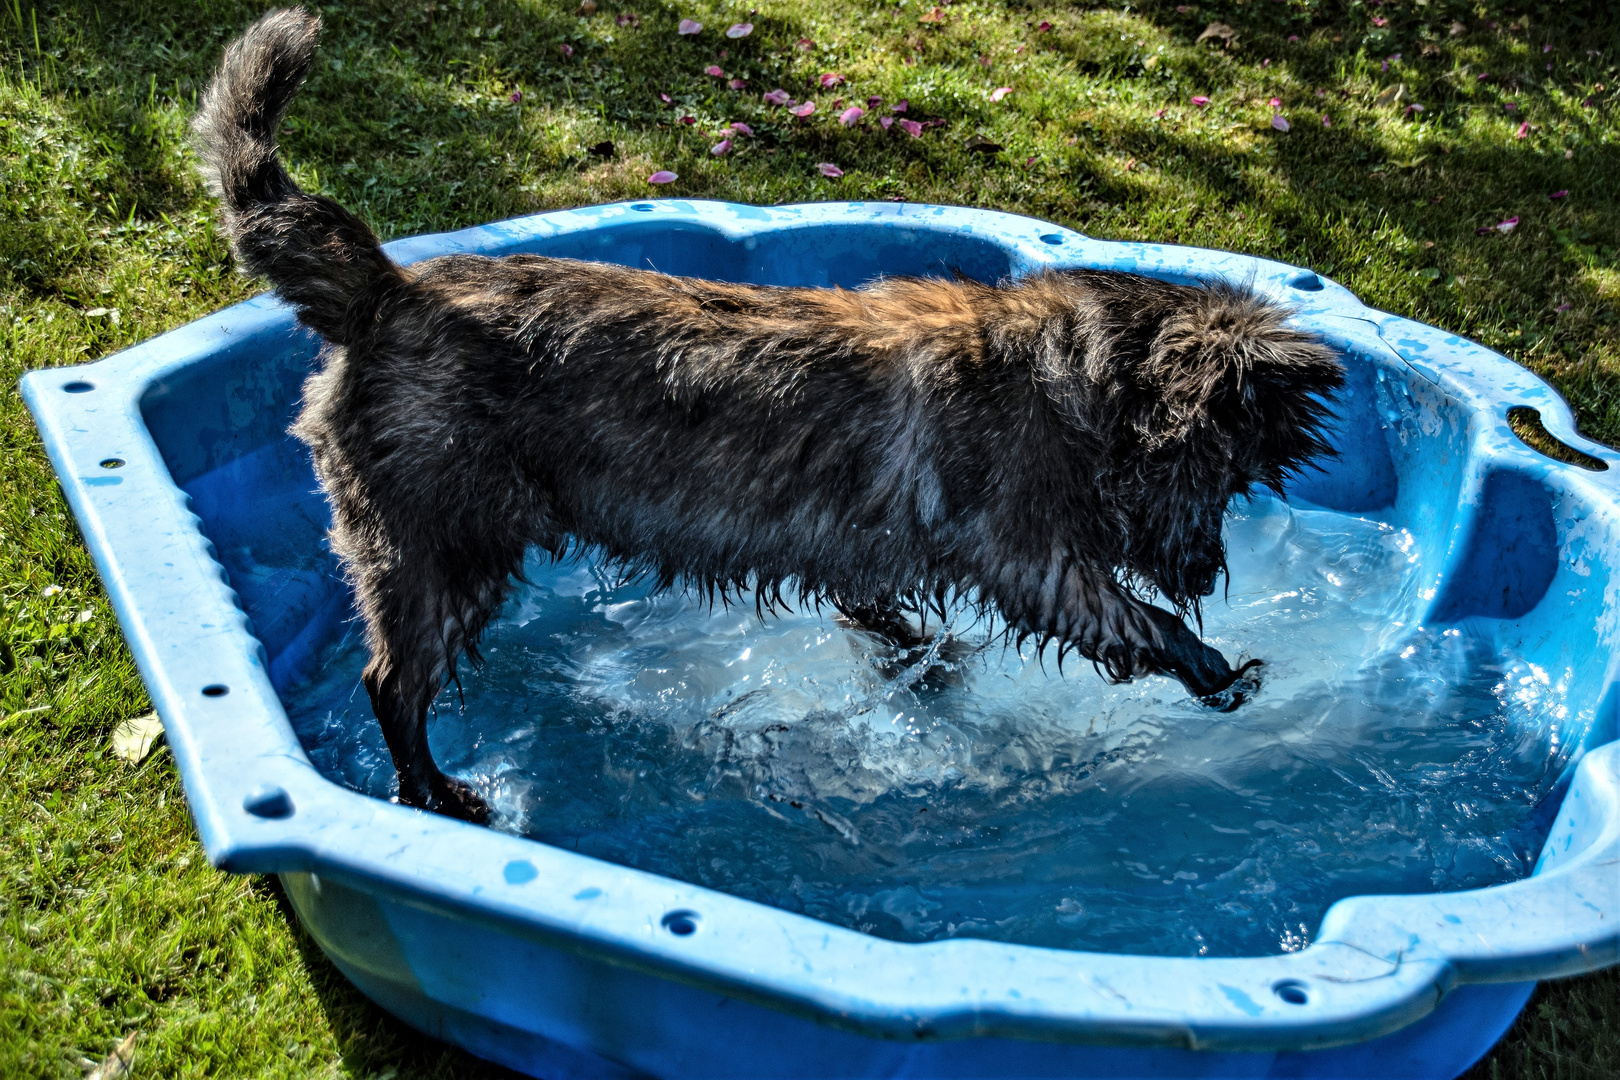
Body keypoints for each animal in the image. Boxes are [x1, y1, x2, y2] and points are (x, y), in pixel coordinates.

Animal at [196, 8, 1347, 822]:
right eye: (1220, 475)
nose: (1207, 570)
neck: (1075, 377)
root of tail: (383, 292)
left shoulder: (873, 555)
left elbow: (891, 621)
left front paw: (930, 671)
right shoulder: (1037, 560)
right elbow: (1132, 620)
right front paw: (1213, 668)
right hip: (440, 544)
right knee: (392, 682)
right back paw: (436, 793)